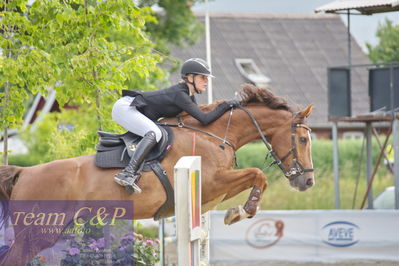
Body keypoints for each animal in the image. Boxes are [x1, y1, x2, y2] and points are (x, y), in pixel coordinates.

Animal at [0, 84, 316, 264]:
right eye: (303, 140)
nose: (307, 181)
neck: (213, 134)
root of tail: (24, 173)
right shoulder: (213, 182)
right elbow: (256, 174)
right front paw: (241, 211)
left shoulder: (214, 188)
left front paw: (236, 211)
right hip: (38, 233)